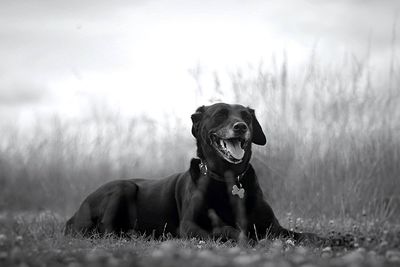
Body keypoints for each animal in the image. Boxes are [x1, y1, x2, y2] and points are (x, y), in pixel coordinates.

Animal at [65, 103, 322, 245]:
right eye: (220, 114)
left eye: (247, 116)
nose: (240, 126)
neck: (228, 179)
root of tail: (73, 216)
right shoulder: (189, 226)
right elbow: (227, 230)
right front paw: (245, 238)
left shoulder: (273, 227)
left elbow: (305, 235)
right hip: (122, 187)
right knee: (107, 230)